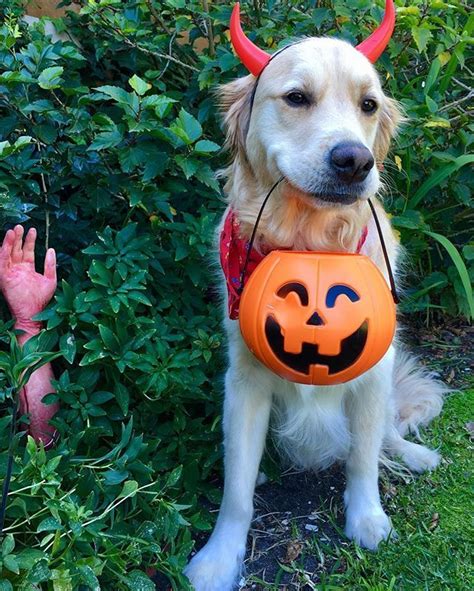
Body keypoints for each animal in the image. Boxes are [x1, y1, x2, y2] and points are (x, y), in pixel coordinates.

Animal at [185, 4, 444, 591]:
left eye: (369, 105)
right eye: (297, 97)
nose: (355, 160)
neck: (313, 240)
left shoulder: (373, 372)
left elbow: (364, 458)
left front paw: (367, 518)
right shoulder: (244, 379)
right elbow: (236, 487)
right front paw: (219, 556)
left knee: (388, 431)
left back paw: (413, 453)